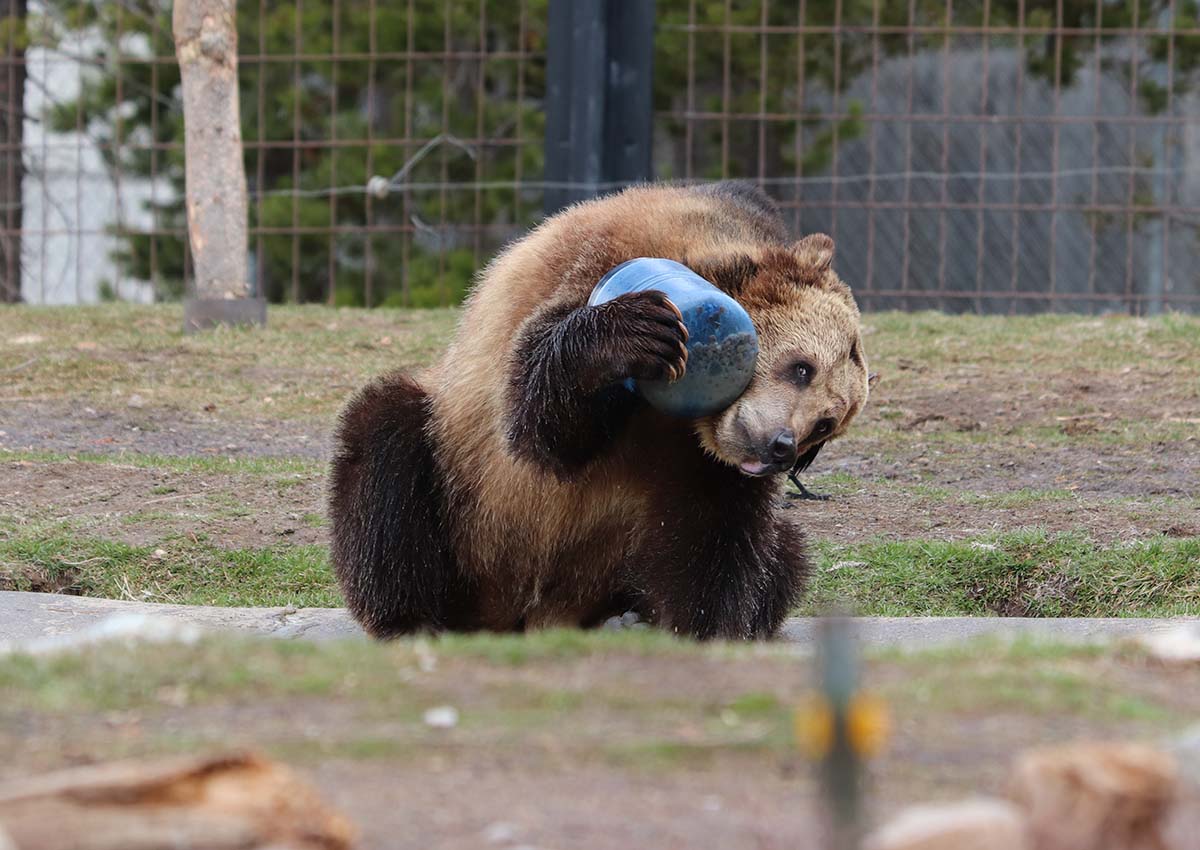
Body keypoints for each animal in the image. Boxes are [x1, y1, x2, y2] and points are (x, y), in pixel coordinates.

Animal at [328, 182, 873, 638]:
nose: (782, 446)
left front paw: (700, 627)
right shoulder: (590, 269)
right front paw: (637, 331)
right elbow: (541, 420)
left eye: (825, 425)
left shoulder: (700, 463)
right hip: (464, 498)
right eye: (801, 368)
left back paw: (627, 616)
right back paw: (413, 619)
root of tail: (529, 613)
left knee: (787, 552)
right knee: (386, 454)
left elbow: (717, 536)